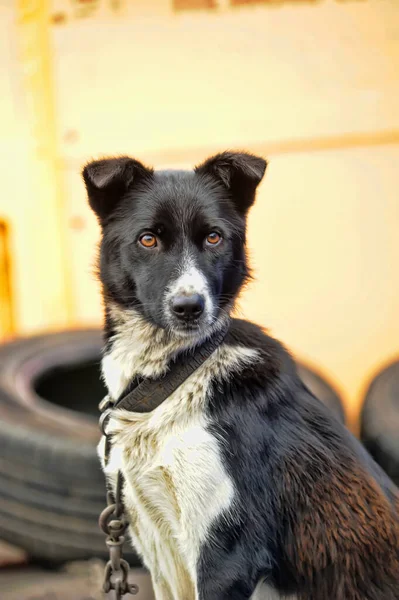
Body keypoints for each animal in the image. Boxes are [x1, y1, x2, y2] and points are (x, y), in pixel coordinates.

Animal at [83, 154, 398, 600]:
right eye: (147, 240)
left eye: (214, 238)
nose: (189, 307)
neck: (179, 374)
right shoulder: (159, 551)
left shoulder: (226, 558)